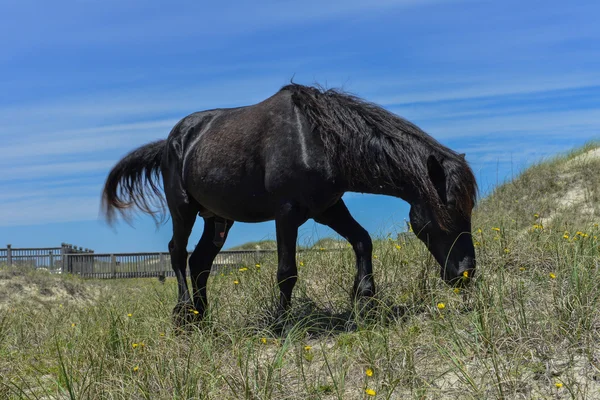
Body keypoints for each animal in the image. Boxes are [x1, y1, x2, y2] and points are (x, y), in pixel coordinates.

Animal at [103, 83, 478, 324]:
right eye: (445, 214)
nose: (465, 274)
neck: (316, 140)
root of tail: (173, 140)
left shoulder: (328, 209)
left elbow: (362, 240)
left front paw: (365, 299)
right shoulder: (286, 215)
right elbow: (287, 272)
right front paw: (280, 324)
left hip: (219, 219)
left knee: (200, 262)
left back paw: (203, 318)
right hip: (184, 209)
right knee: (178, 253)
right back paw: (183, 315)